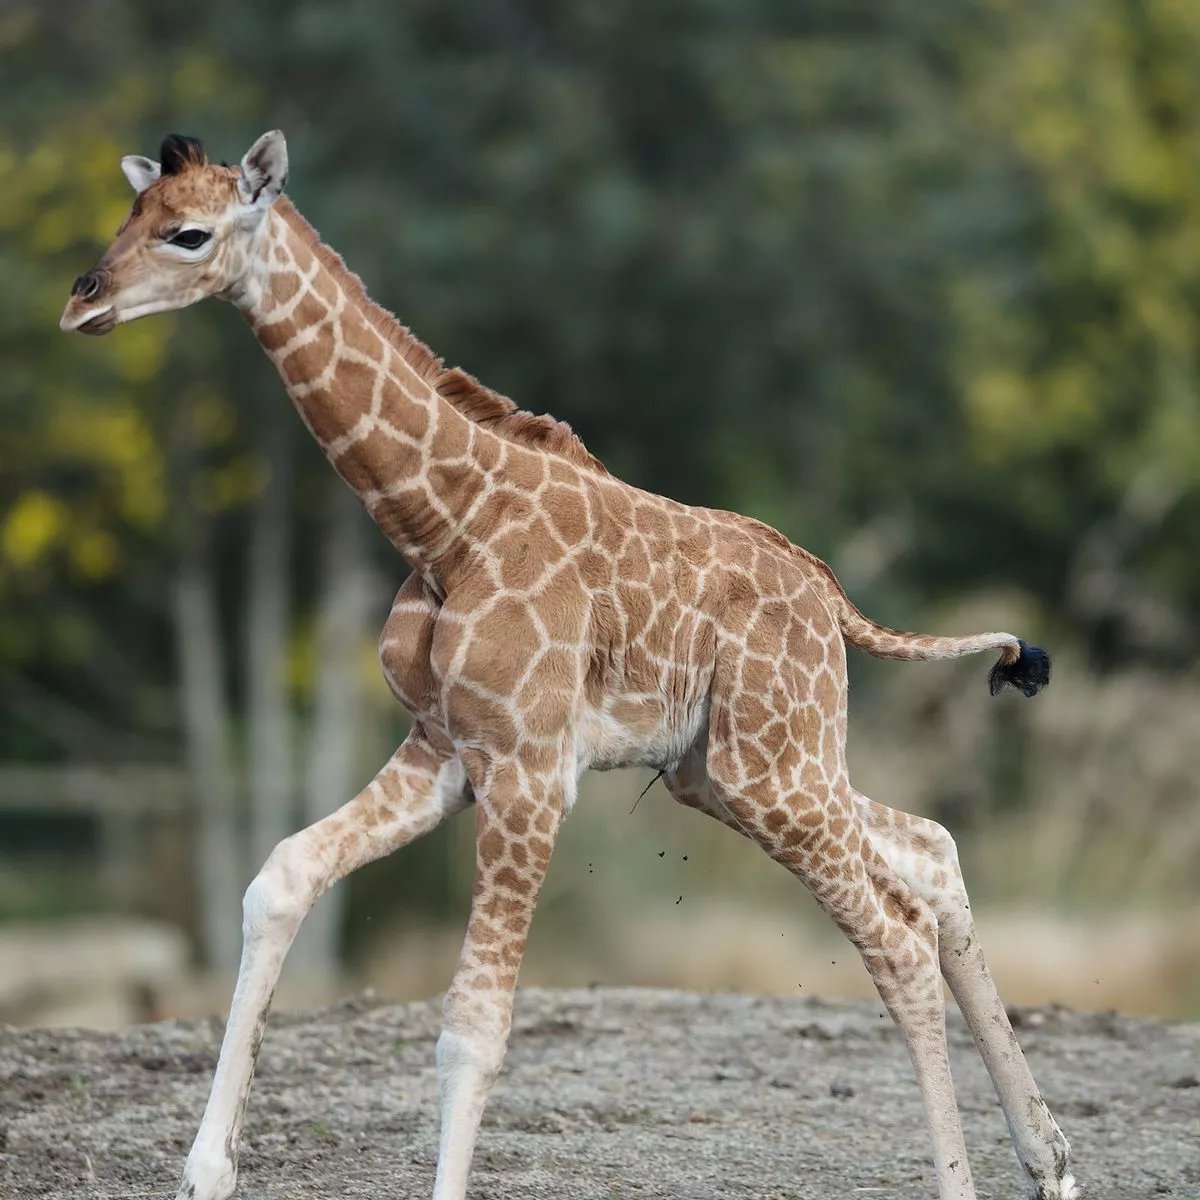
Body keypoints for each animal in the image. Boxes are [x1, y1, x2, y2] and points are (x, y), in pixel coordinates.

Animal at [60, 131, 1077, 1200]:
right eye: (130, 215)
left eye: (188, 232)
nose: (82, 301)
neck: (446, 525)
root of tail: (831, 598)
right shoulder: (444, 748)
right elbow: (282, 877)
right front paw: (205, 1170)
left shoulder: (529, 770)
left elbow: (472, 1028)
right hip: (731, 771)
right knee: (929, 851)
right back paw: (1051, 1161)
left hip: (774, 767)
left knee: (896, 938)